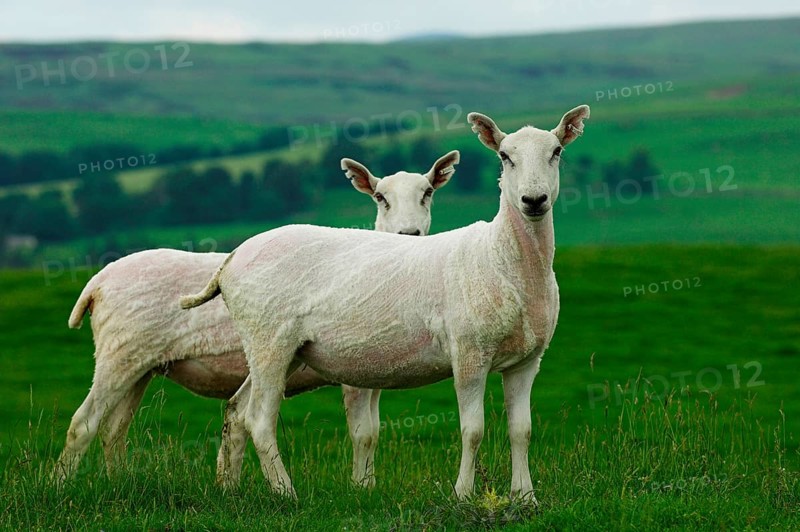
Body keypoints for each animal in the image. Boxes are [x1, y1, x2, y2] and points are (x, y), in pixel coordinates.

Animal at [53, 152, 458, 482]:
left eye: (427, 193)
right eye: (380, 197)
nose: (410, 233)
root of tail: (98, 282)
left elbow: (372, 431)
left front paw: (366, 487)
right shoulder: (353, 373)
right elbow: (364, 434)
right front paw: (361, 488)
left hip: (141, 365)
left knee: (113, 430)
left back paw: (118, 482)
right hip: (118, 355)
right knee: (83, 424)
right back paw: (61, 487)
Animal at [180, 105, 590, 501]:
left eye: (557, 151)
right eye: (505, 156)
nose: (533, 200)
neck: (505, 258)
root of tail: (232, 258)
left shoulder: (527, 360)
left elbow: (522, 430)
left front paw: (525, 498)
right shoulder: (469, 353)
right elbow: (472, 430)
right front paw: (463, 495)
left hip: (279, 348)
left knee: (236, 411)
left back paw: (230, 489)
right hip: (269, 339)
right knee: (259, 419)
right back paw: (285, 493)